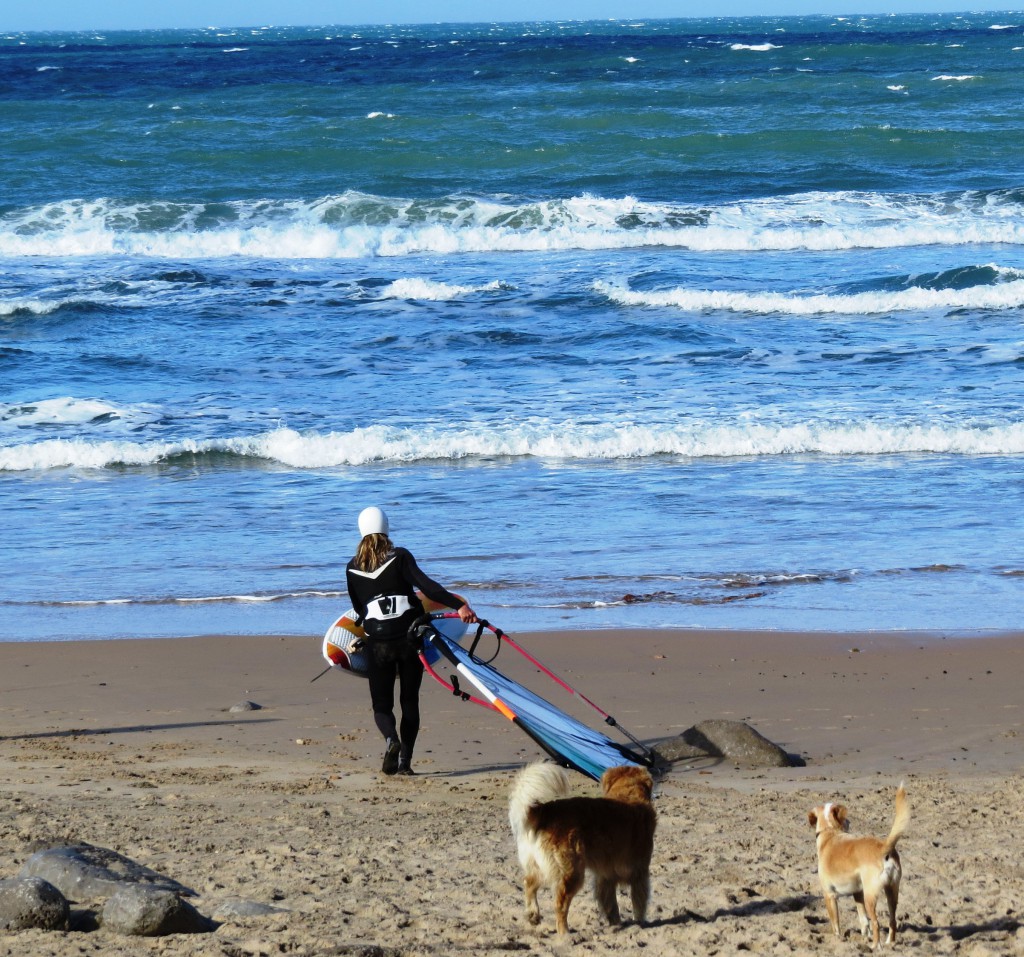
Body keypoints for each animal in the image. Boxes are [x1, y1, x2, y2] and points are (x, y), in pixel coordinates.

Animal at [507, 761, 659, 937]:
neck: (628, 793)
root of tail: (544, 811)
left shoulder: (606, 876)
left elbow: (611, 904)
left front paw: (616, 924)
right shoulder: (640, 874)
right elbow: (639, 903)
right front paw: (640, 924)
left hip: (542, 867)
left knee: (529, 882)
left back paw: (533, 914)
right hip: (572, 873)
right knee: (559, 904)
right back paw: (565, 933)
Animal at [806, 786, 913, 949]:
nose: (849, 820)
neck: (830, 832)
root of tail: (884, 847)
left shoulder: (829, 895)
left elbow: (835, 923)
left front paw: (838, 939)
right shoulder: (857, 893)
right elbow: (863, 920)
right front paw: (864, 937)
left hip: (870, 896)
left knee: (876, 922)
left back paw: (876, 946)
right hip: (892, 891)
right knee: (892, 920)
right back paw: (889, 943)